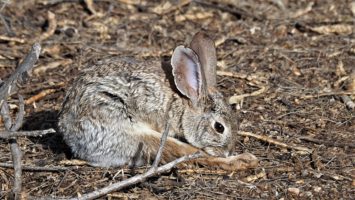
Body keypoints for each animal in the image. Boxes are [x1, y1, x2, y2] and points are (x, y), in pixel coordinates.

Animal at [59, 32, 258, 170]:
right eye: (219, 127)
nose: (228, 151)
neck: (183, 104)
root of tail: (70, 136)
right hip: (131, 132)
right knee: (187, 154)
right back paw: (244, 161)